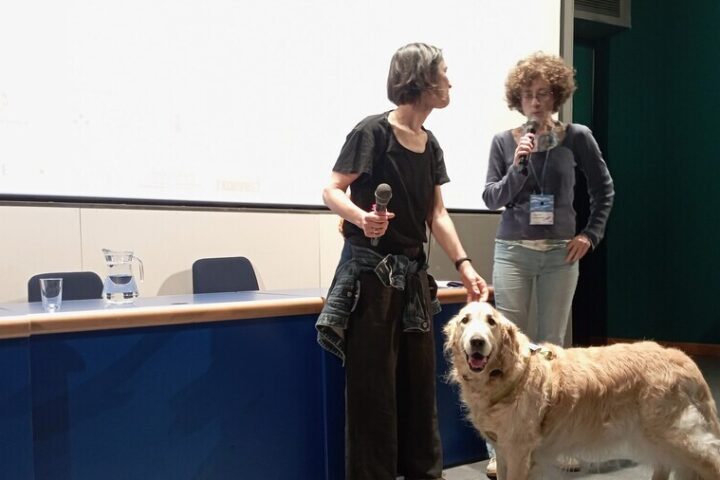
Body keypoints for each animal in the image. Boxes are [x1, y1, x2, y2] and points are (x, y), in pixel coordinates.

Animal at [444, 304, 720, 480]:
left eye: (491, 321)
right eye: (465, 320)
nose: (477, 342)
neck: (510, 373)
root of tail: (681, 357)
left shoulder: (518, 452)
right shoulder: (503, 450)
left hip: (676, 434)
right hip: (656, 437)